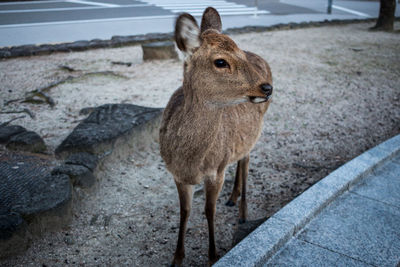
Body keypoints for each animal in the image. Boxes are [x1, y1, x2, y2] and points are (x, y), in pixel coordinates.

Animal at [159, 7, 272, 266]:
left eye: (240, 52)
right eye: (220, 61)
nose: (267, 88)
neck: (190, 160)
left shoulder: (217, 170)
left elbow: (209, 211)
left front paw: (213, 255)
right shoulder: (177, 175)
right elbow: (185, 211)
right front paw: (177, 257)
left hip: (255, 134)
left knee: (246, 160)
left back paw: (242, 212)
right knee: (241, 159)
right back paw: (232, 197)